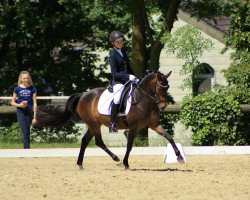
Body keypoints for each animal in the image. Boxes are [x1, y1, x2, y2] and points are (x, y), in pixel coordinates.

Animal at [36, 71, 186, 170]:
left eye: (168, 87)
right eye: (160, 86)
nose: (163, 106)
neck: (144, 100)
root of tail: (83, 95)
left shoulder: (154, 125)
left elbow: (169, 137)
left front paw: (179, 157)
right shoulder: (133, 127)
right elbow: (129, 145)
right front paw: (126, 164)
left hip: (93, 125)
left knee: (85, 140)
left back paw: (80, 164)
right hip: (94, 124)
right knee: (98, 142)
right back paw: (117, 160)